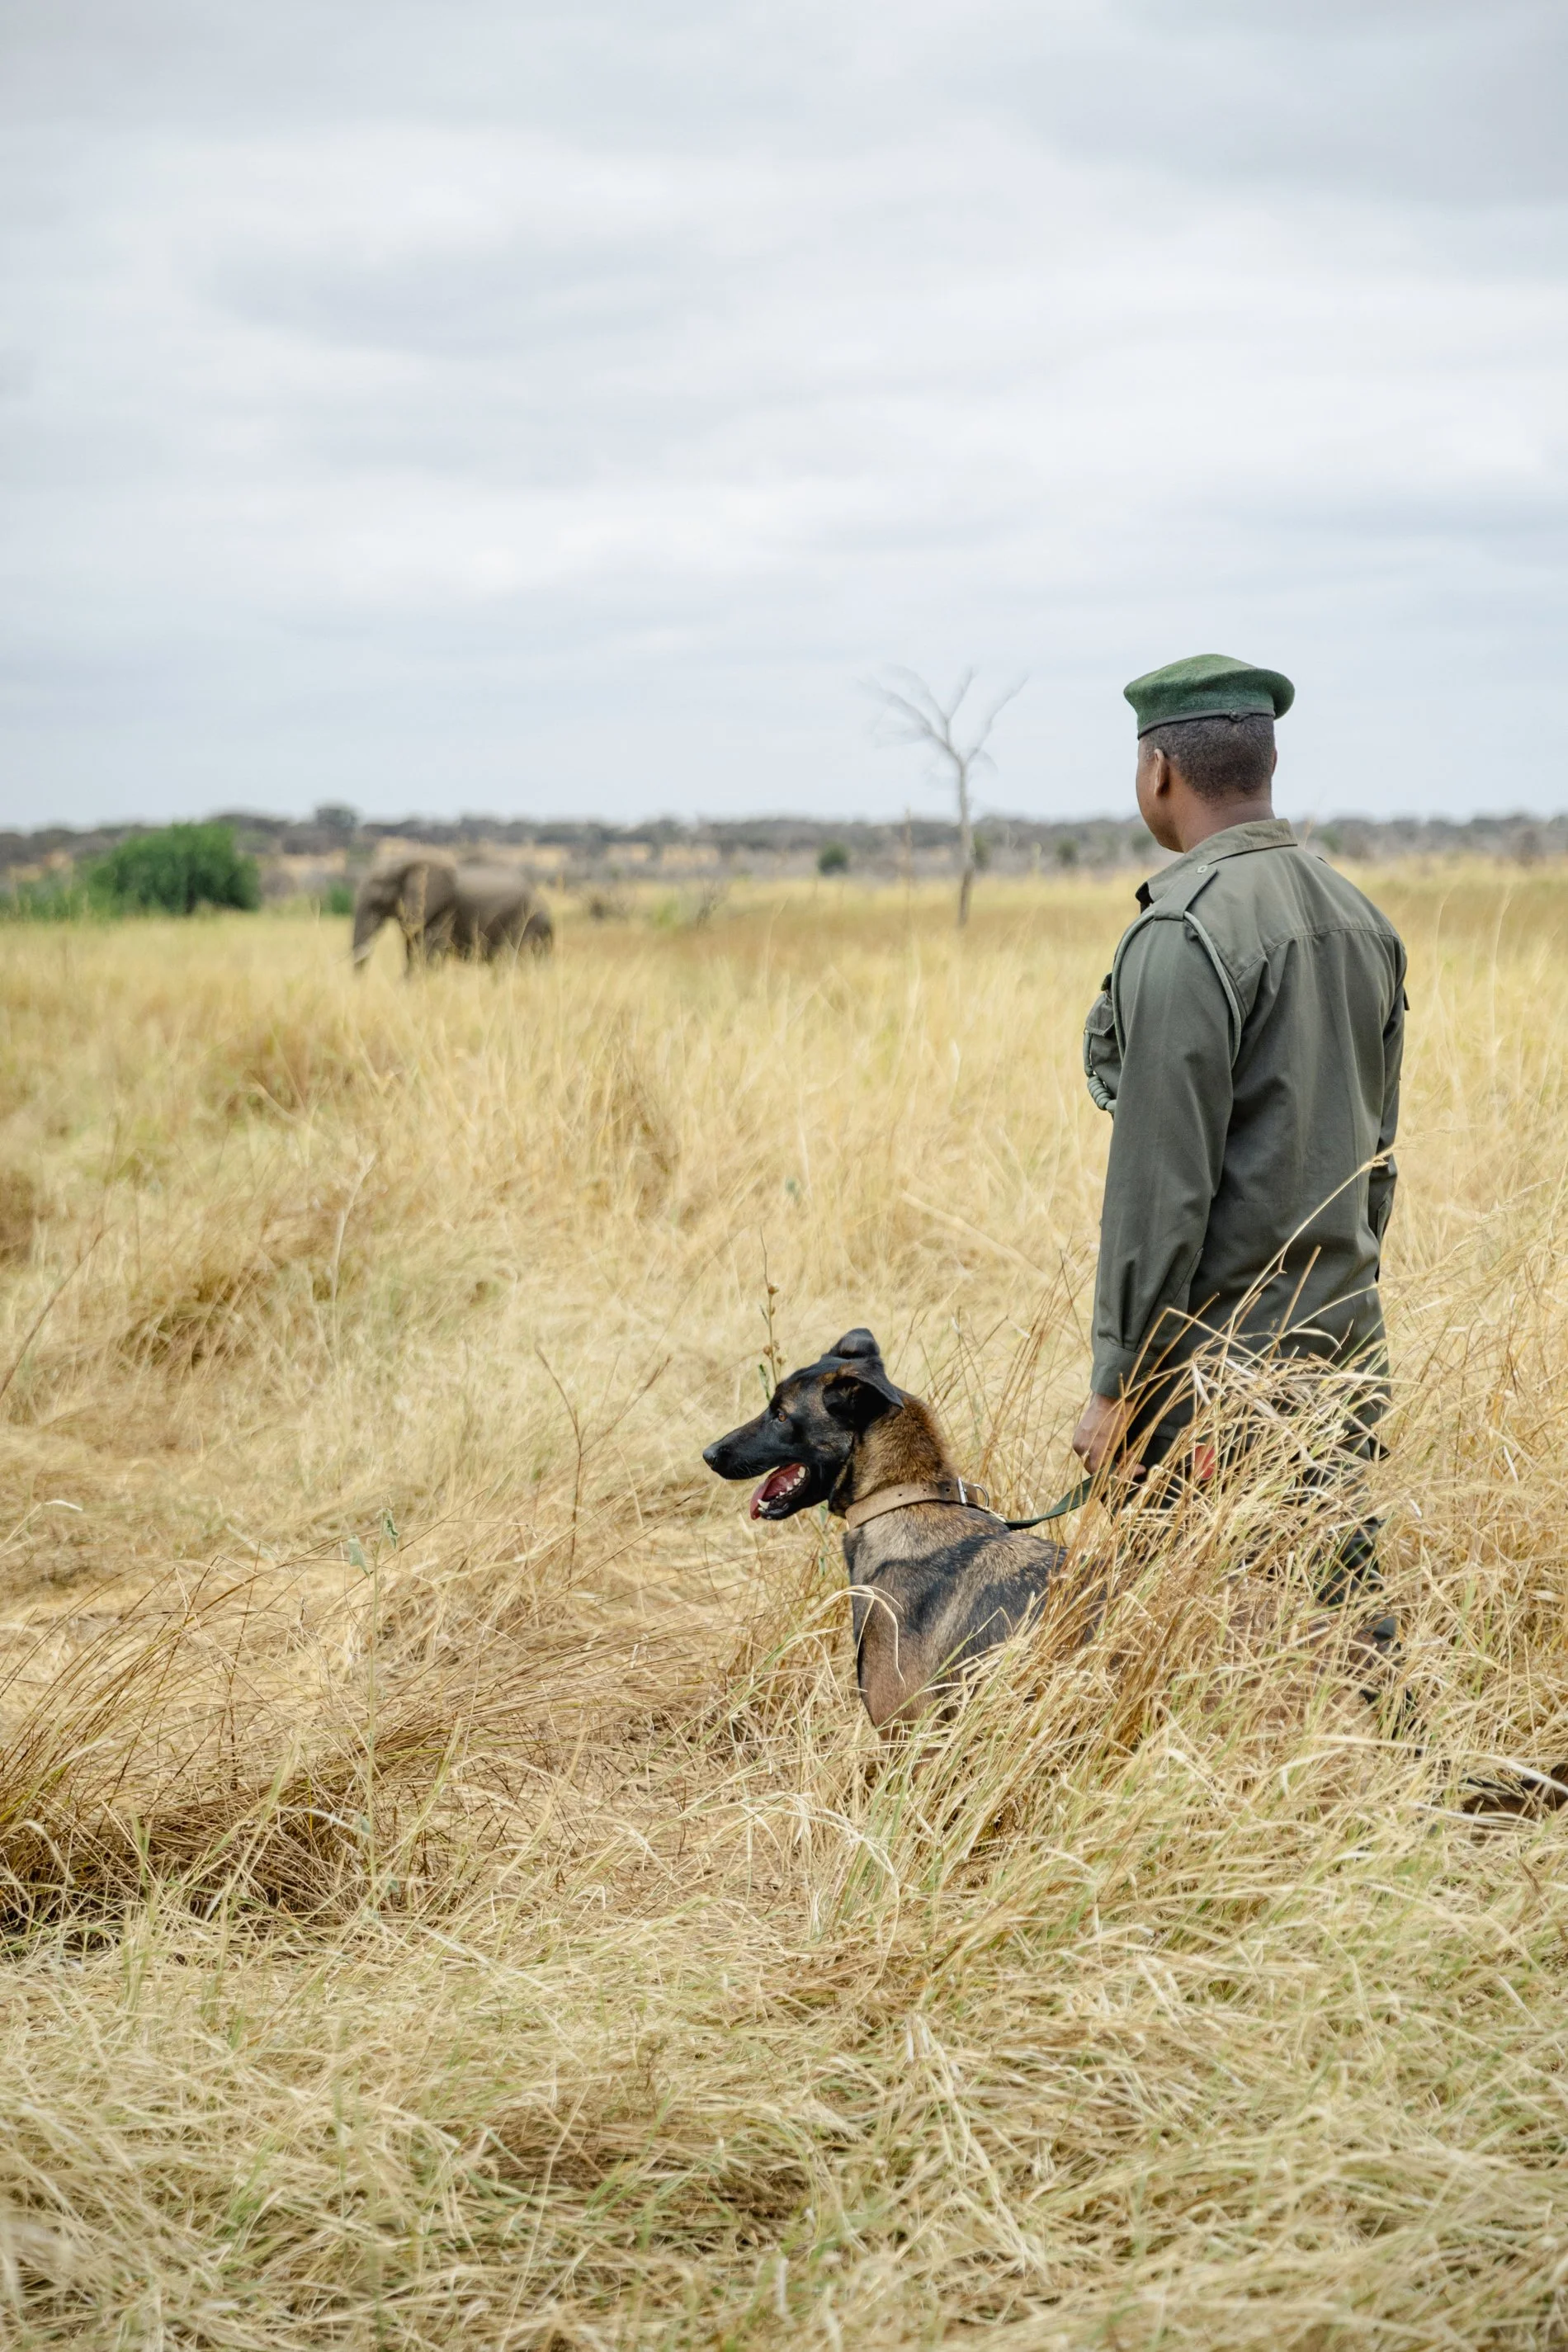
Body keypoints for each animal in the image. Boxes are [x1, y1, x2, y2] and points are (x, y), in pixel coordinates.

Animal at [350, 857, 553, 970]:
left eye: (378, 901)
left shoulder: (446, 911)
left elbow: (428, 953)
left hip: (527, 923)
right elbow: (412, 951)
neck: (407, 863)